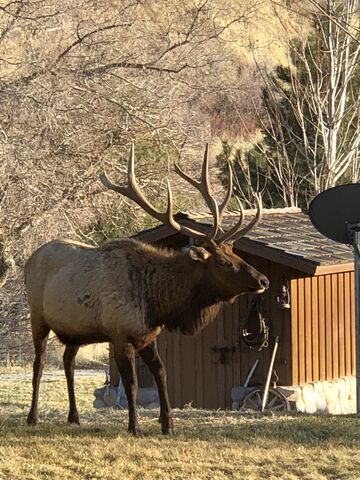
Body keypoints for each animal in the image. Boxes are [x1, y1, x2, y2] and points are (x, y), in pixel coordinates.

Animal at [25, 143, 268, 436]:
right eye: (224, 262)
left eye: (236, 253)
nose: (264, 280)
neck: (158, 304)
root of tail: (29, 259)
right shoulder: (119, 334)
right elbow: (131, 384)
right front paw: (134, 426)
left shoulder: (147, 335)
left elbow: (162, 373)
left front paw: (168, 424)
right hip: (37, 317)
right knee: (38, 364)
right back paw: (32, 416)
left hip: (75, 330)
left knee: (68, 362)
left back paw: (74, 416)